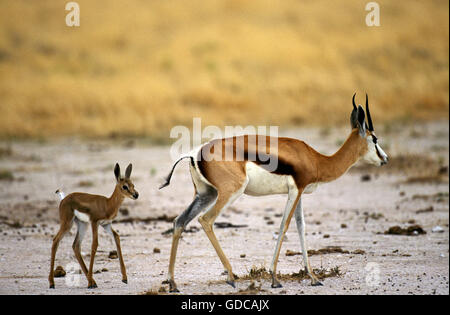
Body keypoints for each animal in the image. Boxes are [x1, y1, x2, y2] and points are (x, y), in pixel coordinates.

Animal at [160, 94, 388, 294]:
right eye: (375, 138)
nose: (385, 159)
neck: (316, 160)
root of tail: (195, 153)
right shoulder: (295, 190)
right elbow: (284, 226)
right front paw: (274, 278)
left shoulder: (299, 192)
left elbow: (301, 227)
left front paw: (313, 277)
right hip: (229, 192)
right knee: (206, 220)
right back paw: (231, 277)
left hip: (206, 194)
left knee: (179, 221)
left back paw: (173, 284)